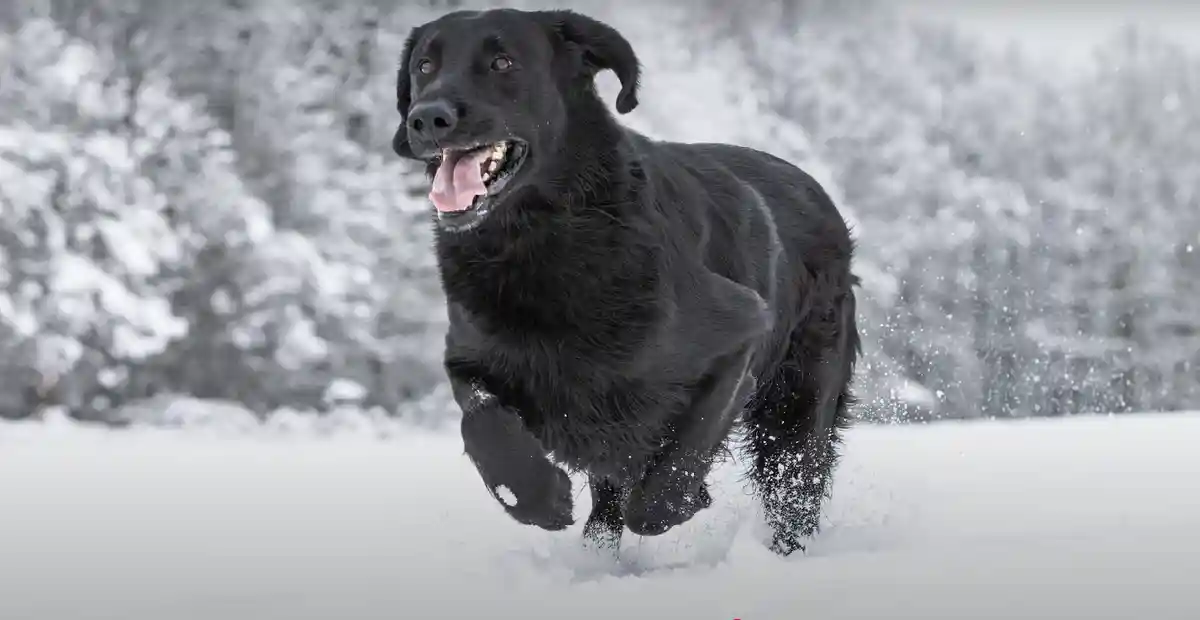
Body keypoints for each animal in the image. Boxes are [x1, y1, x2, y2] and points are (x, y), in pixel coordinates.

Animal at [393, 7, 864, 554]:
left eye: (502, 61)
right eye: (425, 66)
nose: (427, 118)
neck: (542, 241)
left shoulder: (741, 331)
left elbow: (679, 459)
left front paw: (675, 503)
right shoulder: (471, 354)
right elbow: (481, 420)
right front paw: (537, 498)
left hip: (798, 404)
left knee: (794, 488)